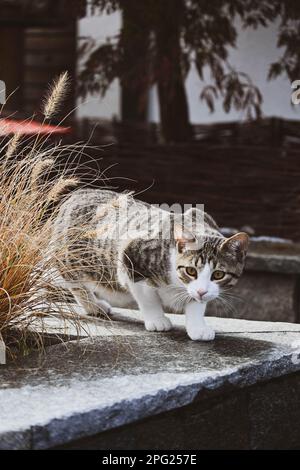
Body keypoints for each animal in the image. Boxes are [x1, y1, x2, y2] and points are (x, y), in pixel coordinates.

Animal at [52, 188, 248, 342]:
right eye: (191, 271)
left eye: (218, 274)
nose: (202, 291)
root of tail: (76, 194)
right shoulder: (131, 257)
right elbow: (148, 298)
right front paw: (157, 320)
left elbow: (196, 302)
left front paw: (197, 327)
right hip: (71, 258)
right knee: (75, 282)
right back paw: (93, 305)